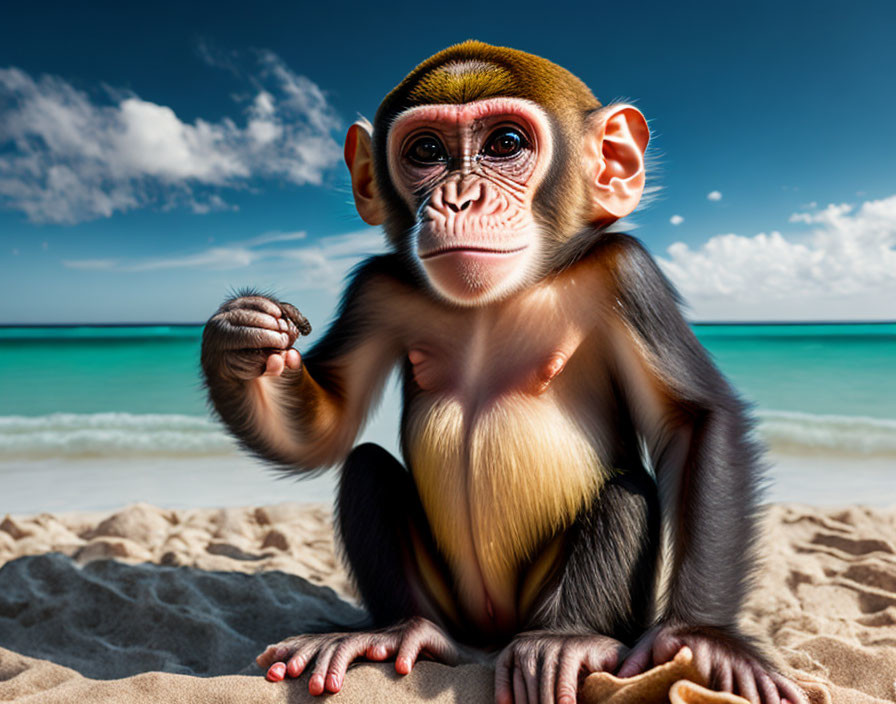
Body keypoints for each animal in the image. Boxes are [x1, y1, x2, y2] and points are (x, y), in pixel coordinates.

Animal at [201, 42, 804, 704]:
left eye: (505, 143)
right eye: (426, 152)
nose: (460, 197)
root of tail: (491, 636)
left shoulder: (627, 273)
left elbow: (693, 420)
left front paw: (702, 637)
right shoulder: (376, 289)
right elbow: (325, 433)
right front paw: (239, 339)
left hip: (542, 608)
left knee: (625, 490)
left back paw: (570, 640)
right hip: (453, 606)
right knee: (366, 468)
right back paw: (396, 629)